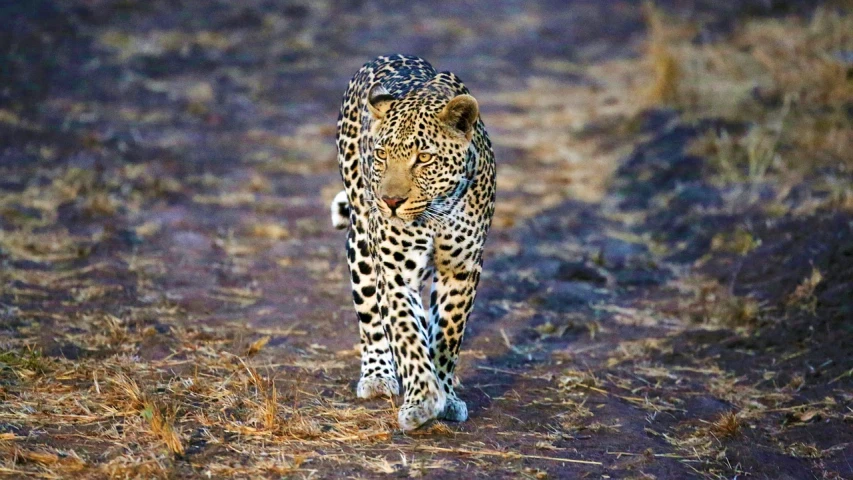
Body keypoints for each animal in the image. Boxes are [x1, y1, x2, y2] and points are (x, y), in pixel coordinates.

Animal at [330, 55, 496, 432]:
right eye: (381, 155)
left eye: (423, 158)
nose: (390, 201)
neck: (435, 211)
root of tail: (388, 55)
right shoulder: (395, 273)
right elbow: (406, 334)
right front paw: (422, 400)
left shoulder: (461, 271)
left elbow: (446, 336)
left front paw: (445, 394)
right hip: (361, 242)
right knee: (371, 316)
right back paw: (378, 375)